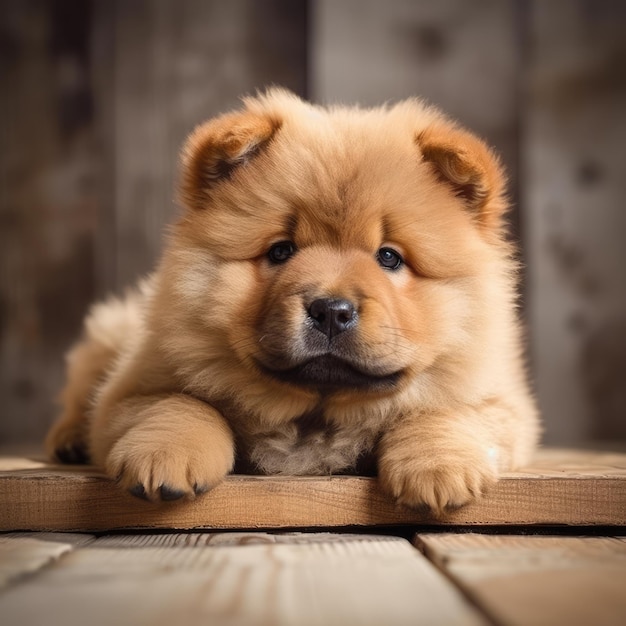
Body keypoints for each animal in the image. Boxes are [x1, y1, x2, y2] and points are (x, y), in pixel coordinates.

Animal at [47, 90, 536, 516]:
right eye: (281, 251)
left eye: (389, 257)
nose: (331, 311)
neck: (314, 415)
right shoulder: (133, 386)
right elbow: (179, 404)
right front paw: (164, 458)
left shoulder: (501, 399)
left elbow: (442, 411)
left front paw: (438, 471)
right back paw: (68, 440)